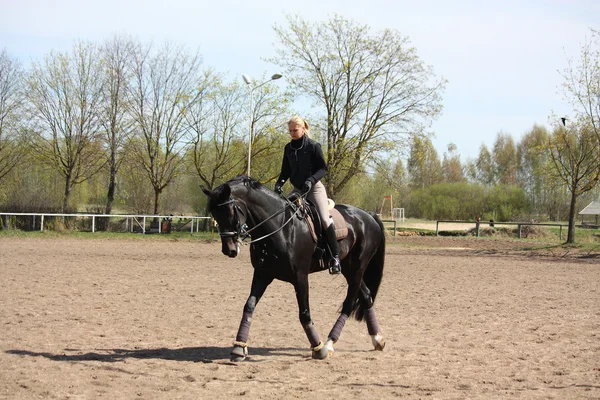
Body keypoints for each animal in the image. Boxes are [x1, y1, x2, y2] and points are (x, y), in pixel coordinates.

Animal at [199, 177, 386, 360]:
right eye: (214, 214)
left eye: (231, 211)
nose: (229, 250)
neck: (279, 227)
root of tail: (368, 216)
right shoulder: (262, 274)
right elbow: (249, 306)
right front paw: (239, 347)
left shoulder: (300, 277)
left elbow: (304, 313)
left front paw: (318, 348)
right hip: (349, 269)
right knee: (366, 296)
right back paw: (377, 339)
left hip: (357, 267)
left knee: (349, 303)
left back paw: (329, 343)